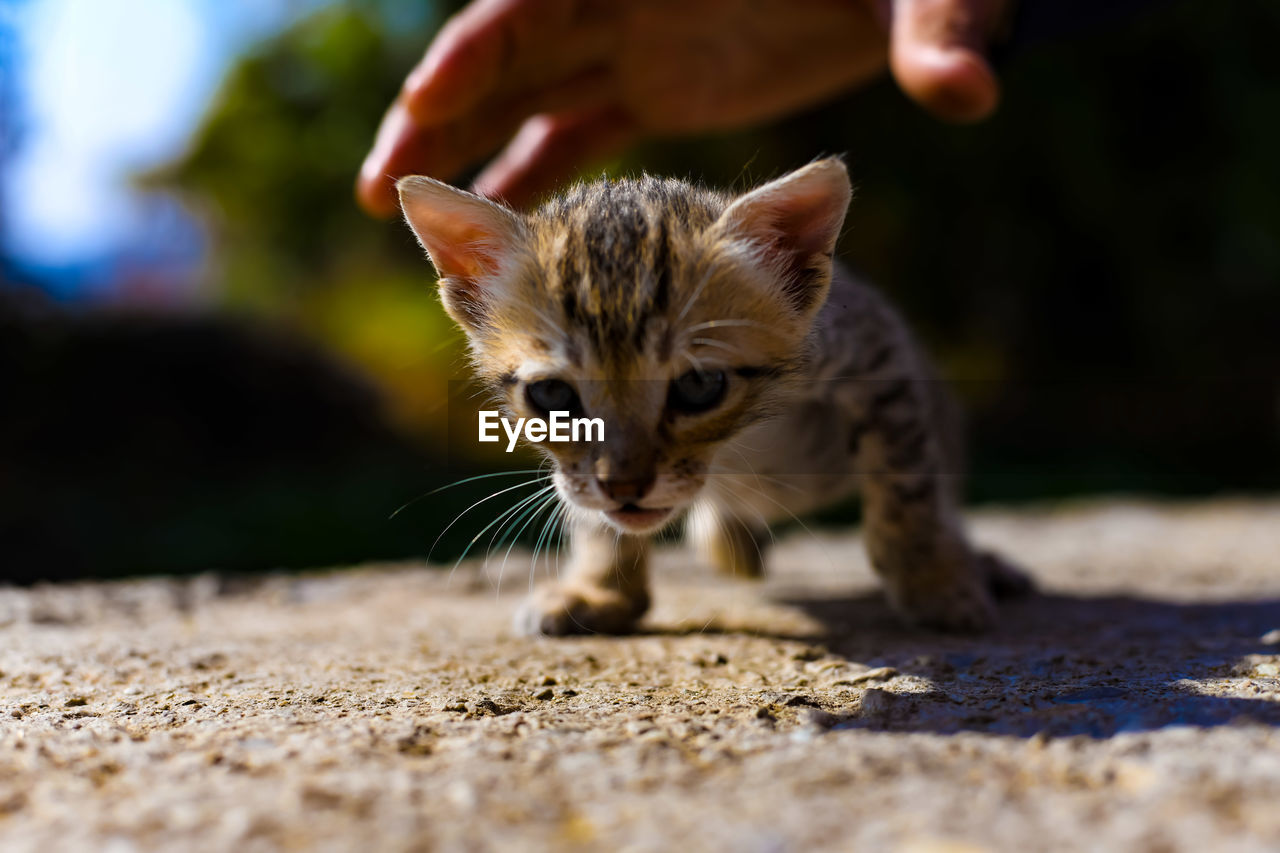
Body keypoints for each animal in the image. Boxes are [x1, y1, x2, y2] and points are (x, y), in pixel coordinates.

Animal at [399, 159, 1029, 635]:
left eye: (700, 386)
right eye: (552, 394)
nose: (624, 487)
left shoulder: (879, 356)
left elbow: (908, 487)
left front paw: (933, 582)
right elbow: (590, 511)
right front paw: (601, 591)